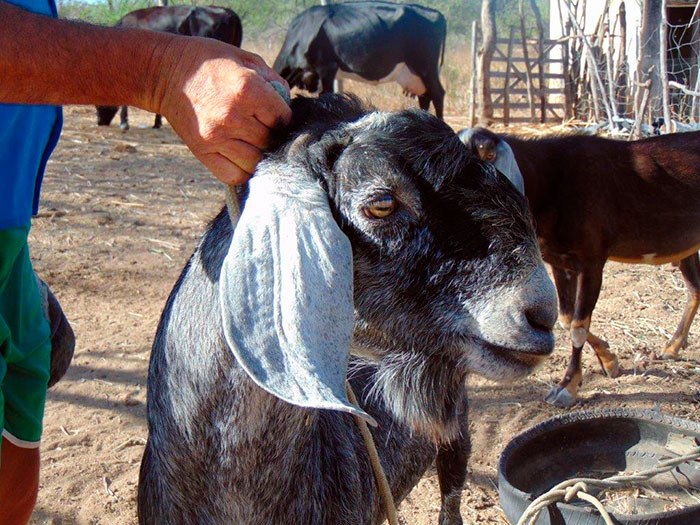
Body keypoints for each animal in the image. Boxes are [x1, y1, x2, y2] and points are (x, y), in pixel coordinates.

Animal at [270, 1, 446, 117]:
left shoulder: (327, 67)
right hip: (415, 74)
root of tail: (436, 13)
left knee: (438, 93)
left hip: (426, 66)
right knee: (425, 96)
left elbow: (327, 95)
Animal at [460, 129, 700, 408]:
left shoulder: (592, 261)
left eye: (488, 156)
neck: (552, 181)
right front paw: (609, 360)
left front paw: (568, 387)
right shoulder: (560, 262)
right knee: (695, 290)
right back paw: (672, 347)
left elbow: (578, 326)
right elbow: (566, 319)